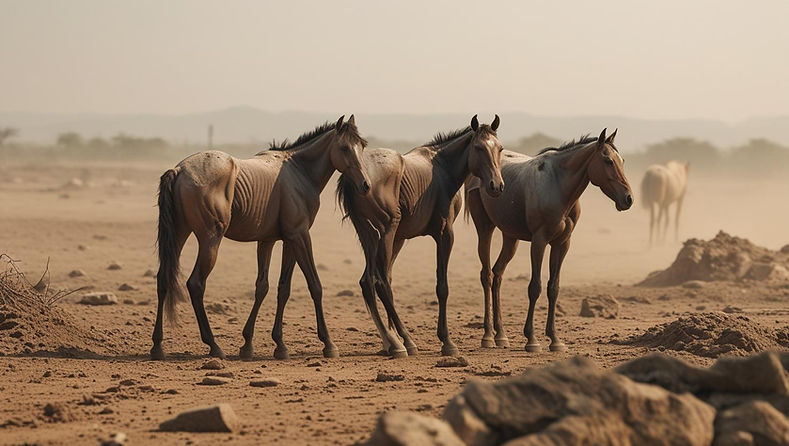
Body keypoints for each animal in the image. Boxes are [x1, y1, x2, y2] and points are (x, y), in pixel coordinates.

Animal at [151, 115, 371, 360]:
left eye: (362, 146)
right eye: (344, 148)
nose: (365, 185)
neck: (299, 171)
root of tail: (179, 170)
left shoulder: (273, 240)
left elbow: (271, 288)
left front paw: (260, 344)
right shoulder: (299, 236)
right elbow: (315, 285)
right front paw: (328, 343)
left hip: (179, 234)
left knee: (163, 279)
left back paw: (157, 346)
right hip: (210, 240)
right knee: (196, 284)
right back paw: (213, 345)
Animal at [336, 115, 505, 358]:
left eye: (499, 148)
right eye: (479, 147)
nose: (496, 186)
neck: (442, 169)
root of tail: (356, 179)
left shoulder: (399, 238)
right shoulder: (444, 234)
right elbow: (442, 287)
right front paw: (447, 341)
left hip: (371, 237)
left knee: (368, 281)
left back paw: (391, 341)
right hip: (384, 234)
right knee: (380, 283)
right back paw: (405, 341)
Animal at [465, 129, 633, 352]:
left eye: (621, 160)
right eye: (607, 160)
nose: (628, 199)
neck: (558, 186)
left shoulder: (562, 244)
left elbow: (554, 288)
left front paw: (555, 339)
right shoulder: (539, 241)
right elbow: (535, 287)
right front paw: (532, 339)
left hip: (511, 238)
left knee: (497, 274)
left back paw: (501, 335)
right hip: (485, 229)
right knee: (487, 276)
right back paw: (488, 336)